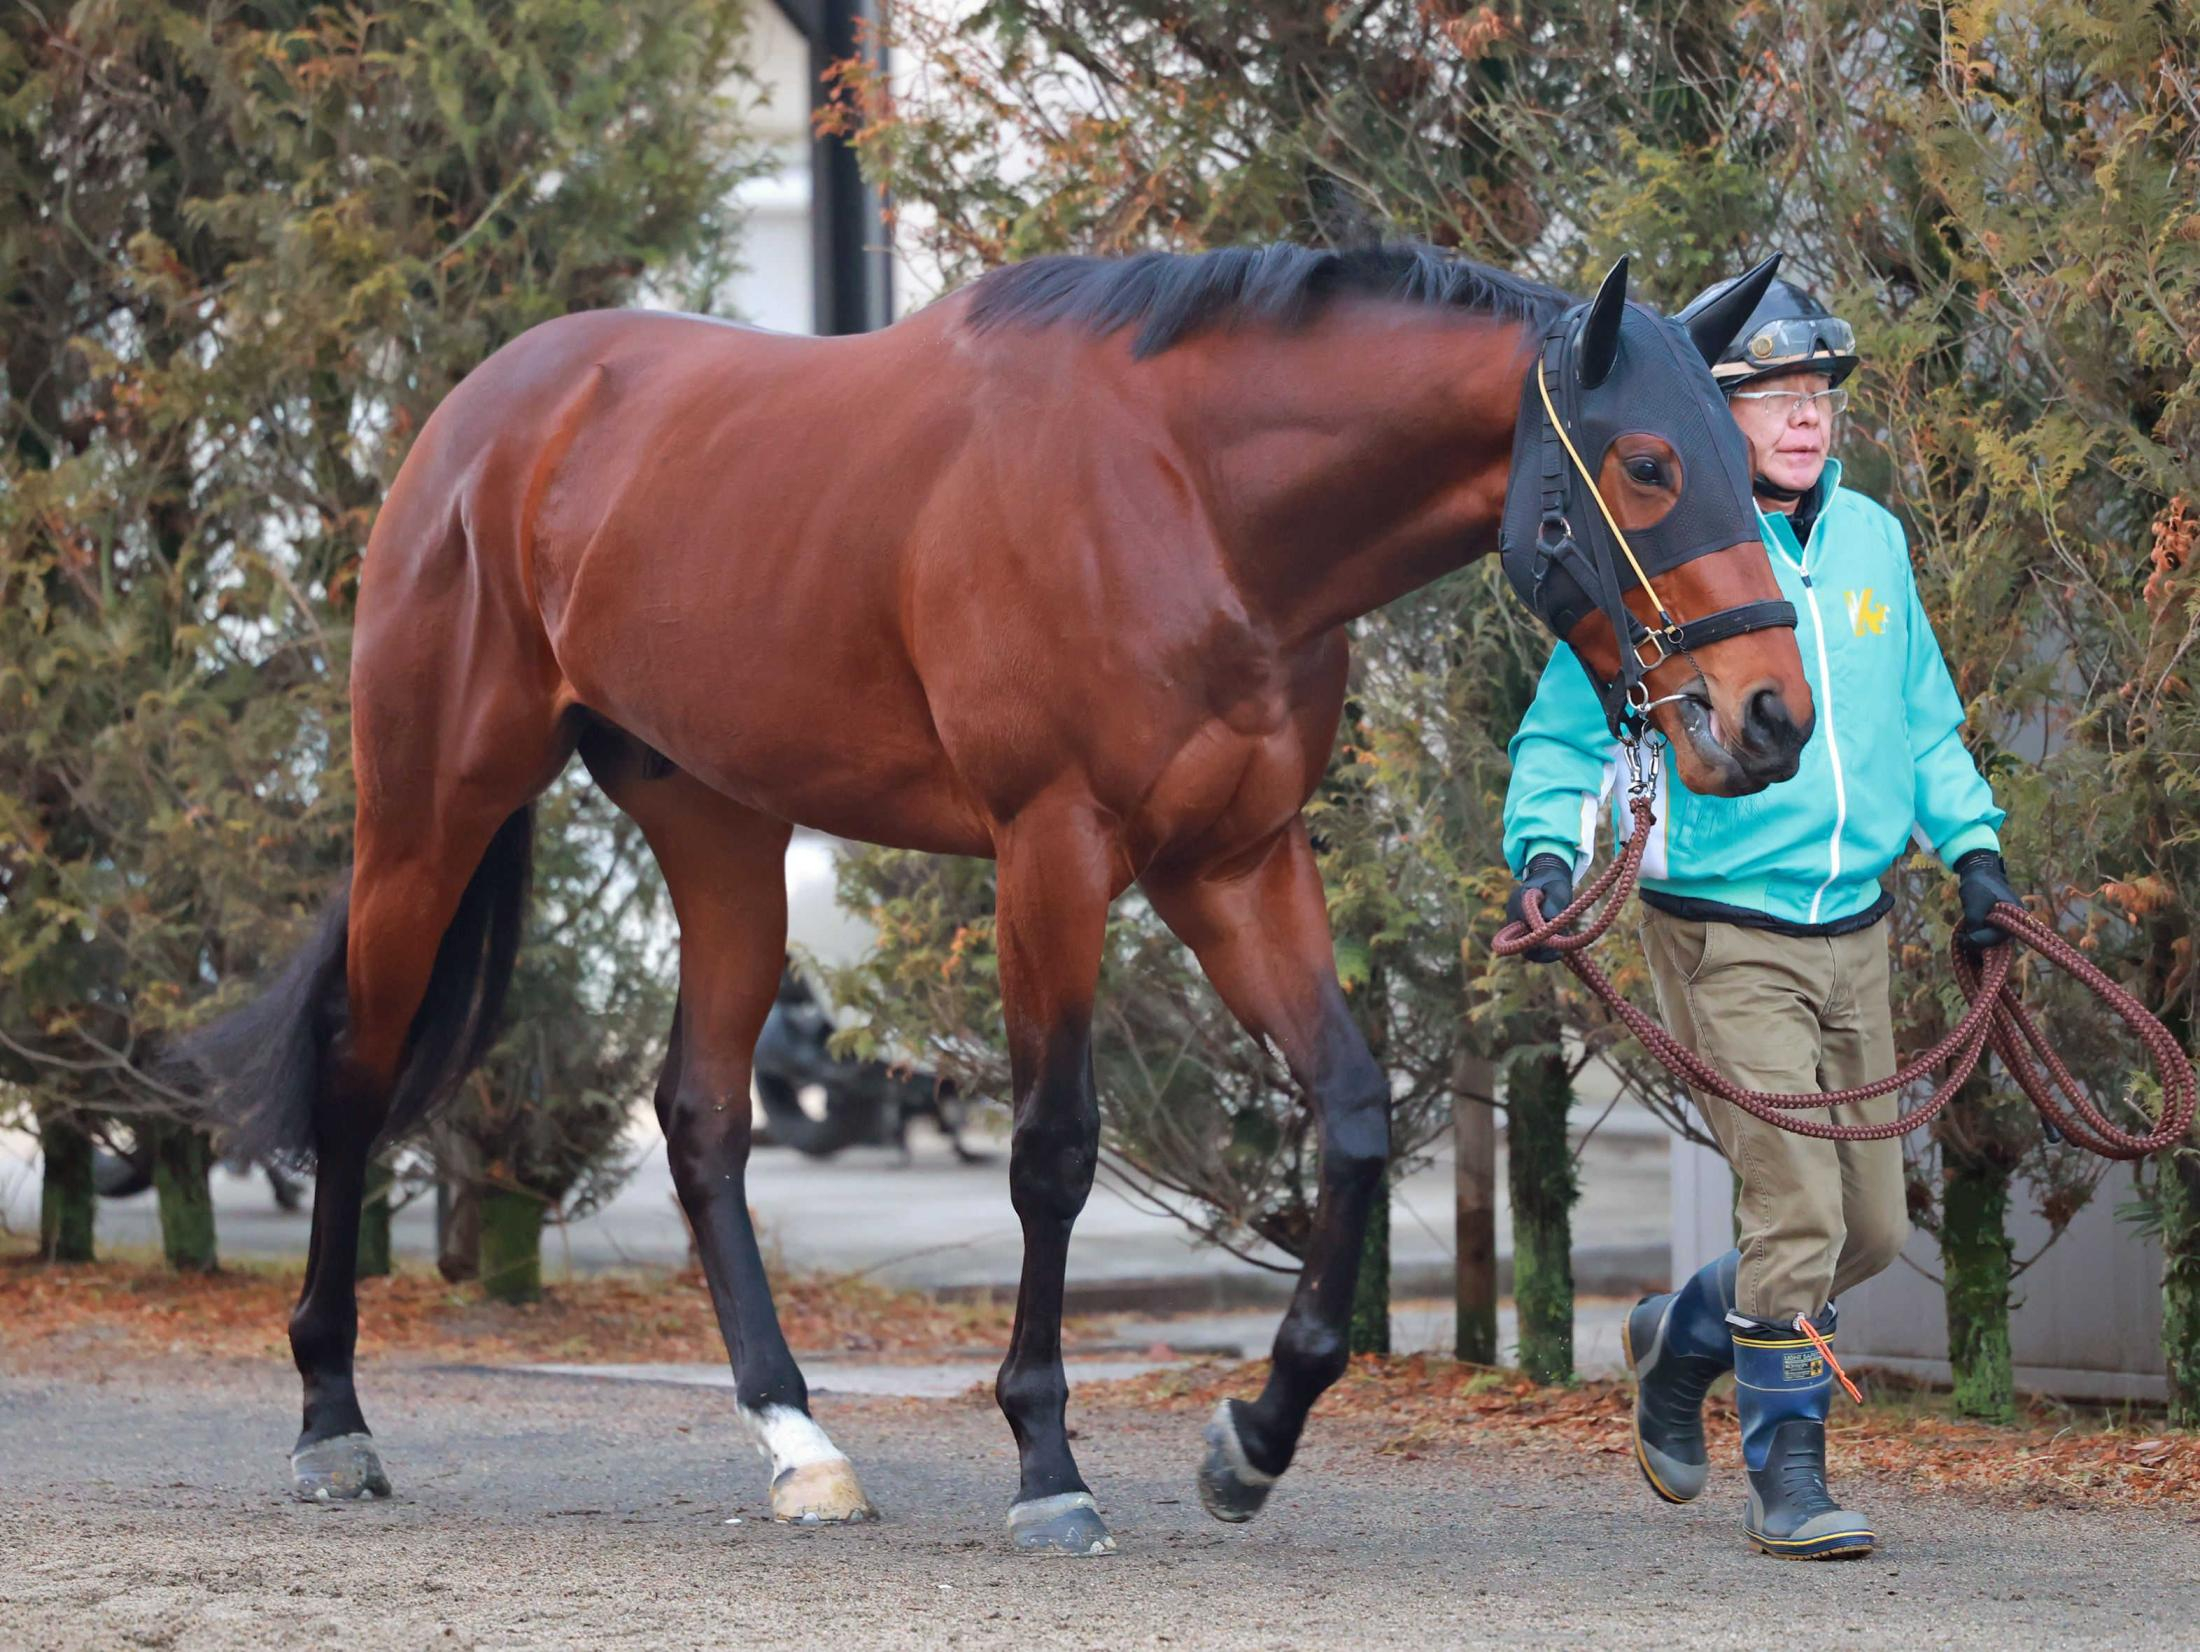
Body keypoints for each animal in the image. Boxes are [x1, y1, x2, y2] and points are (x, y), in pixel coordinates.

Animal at [176, 242, 1810, 1555]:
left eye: (1753, 467)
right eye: (1650, 463)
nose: (1769, 717)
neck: (1192, 496)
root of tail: (484, 416)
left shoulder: (1232, 861)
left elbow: (1348, 1114)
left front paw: (1252, 1440)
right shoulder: (1057, 850)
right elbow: (1051, 1152)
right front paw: (1047, 1464)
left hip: (721, 831)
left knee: (703, 1116)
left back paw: (802, 1447)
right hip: (426, 811)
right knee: (357, 1072)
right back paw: (331, 1419)